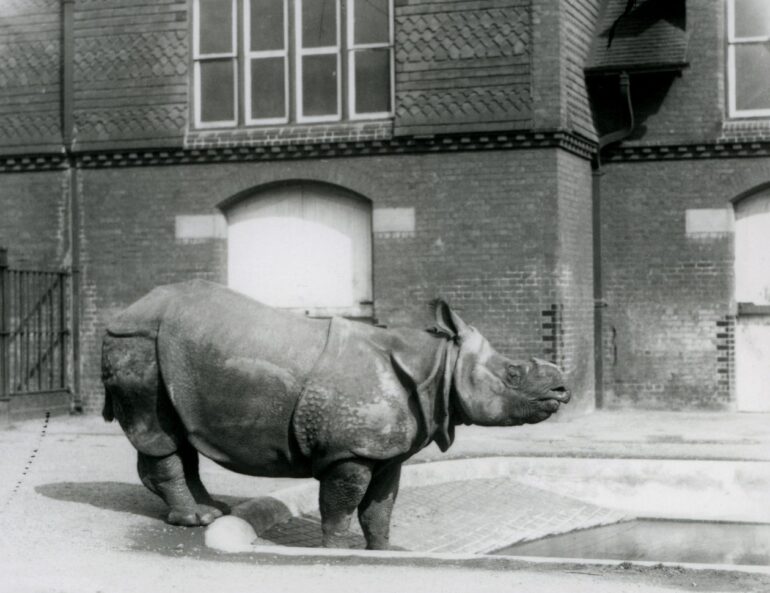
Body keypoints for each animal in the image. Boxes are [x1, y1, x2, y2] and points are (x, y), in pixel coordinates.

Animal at [101, 280, 570, 550]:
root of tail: (123, 312)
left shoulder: (387, 452)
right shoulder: (351, 451)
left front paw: (383, 552)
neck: (438, 368)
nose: (562, 389)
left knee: (179, 432)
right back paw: (195, 519)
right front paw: (337, 551)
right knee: (158, 433)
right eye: (513, 374)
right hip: (138, 342)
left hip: (167, 352)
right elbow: (341, 506)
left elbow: (379, 508)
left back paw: (212, 510)